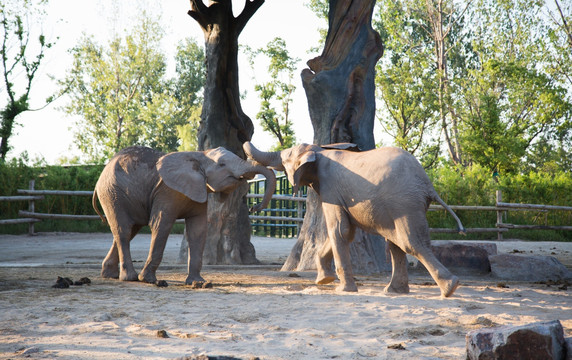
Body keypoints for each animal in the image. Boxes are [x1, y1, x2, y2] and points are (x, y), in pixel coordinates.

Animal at [94, 146, 278, 284]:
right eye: (222, 164)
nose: (254, 207)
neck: (200, 155)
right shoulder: (167, 191)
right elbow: (161, 224)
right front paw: (148, 280)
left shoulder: (199, 188)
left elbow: (198, 229)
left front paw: (198, 282)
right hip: (113, 193)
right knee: (124, 231)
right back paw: (130, 278)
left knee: (128, 230)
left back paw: (109, 275)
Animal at [245, 142, 464, 296]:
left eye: (284, 159)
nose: (252, 206)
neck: (319, 150)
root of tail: (427, 185)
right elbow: (347, 232)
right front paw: (323, 280)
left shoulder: (331, 189)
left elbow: (339, 230)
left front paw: (342, 289)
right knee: (395, 244)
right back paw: (394, 291)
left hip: (404, 203)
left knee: (412, 242)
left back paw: (450, 288)